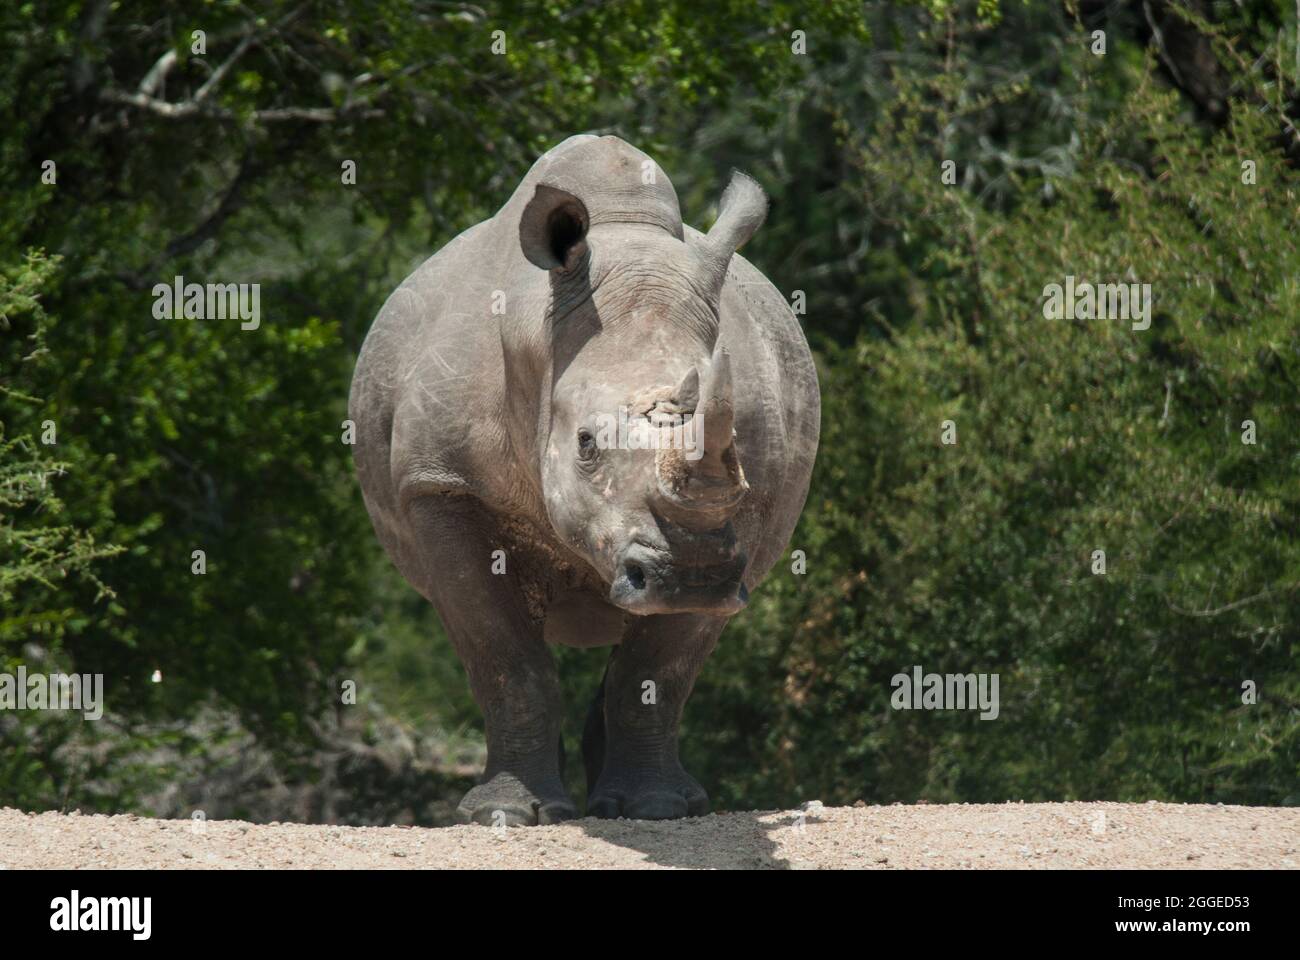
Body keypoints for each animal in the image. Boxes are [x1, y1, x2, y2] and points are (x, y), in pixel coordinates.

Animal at [349, 135, 819, 824]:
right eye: (587, 445)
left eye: (731, 448)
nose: (691, 575)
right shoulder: (440, 485)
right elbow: (504, 657)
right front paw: (507, 814)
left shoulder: (748, 514)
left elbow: (659, 669)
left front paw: (655, 810)